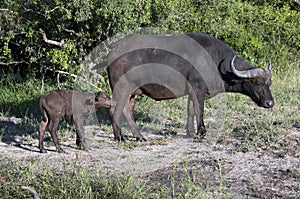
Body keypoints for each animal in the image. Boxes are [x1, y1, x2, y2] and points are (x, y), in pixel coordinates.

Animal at [106, 32, 274, 141]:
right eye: (257, 83)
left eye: (269, 83)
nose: (270, 103)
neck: (216, 62)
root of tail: (112, 52)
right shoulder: (198, 88)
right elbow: (200, 110)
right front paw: (202, 132)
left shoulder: (192, 92)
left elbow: (191, 109)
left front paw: (190, 131)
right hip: (122, 88)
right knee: (114, 109)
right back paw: (120, 137)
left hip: (133, 92)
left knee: (127, 110)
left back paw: (139, 136)